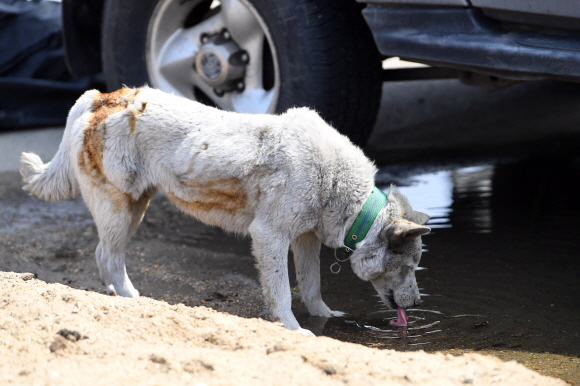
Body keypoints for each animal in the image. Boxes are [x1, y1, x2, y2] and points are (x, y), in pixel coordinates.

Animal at [21, 86, 430, 334]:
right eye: (409, 267)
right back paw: (131, 298)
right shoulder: (270, 237)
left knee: (103, 255)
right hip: (120, 210)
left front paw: (325, 317)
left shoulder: (305, 240)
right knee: (109, 257)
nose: (417, 304)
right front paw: (295, 330)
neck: (337, 185)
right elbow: (282, 293)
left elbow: (311, 286)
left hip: (135, 208)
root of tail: (98, 98)